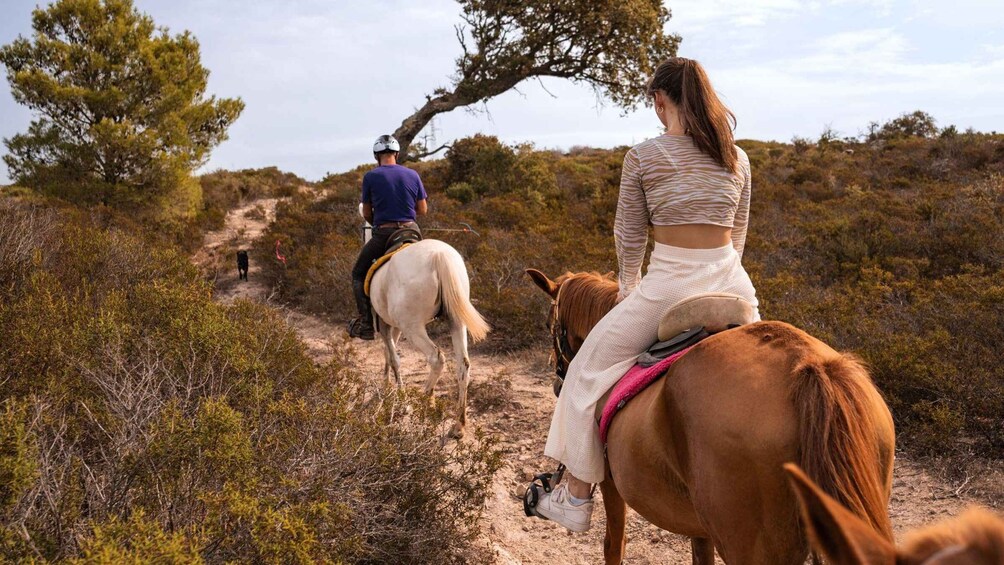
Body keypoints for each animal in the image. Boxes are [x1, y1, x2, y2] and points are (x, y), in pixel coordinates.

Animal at [371, 238, 491, 437]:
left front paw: (399, 398)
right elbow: (389, 355)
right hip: (456, 321)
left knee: (436, 358)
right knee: (463, 365)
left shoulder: (385, 324)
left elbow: (393, 358)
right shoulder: (392, 325)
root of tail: (439, 256)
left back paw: (422, 401)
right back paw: (458, 424)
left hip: (413, 328)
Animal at [526, 268, 895, 565]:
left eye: (548, 324)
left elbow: (613, 544)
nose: (558, 381)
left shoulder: (610, 485)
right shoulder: (699, 526)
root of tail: (806, 365)